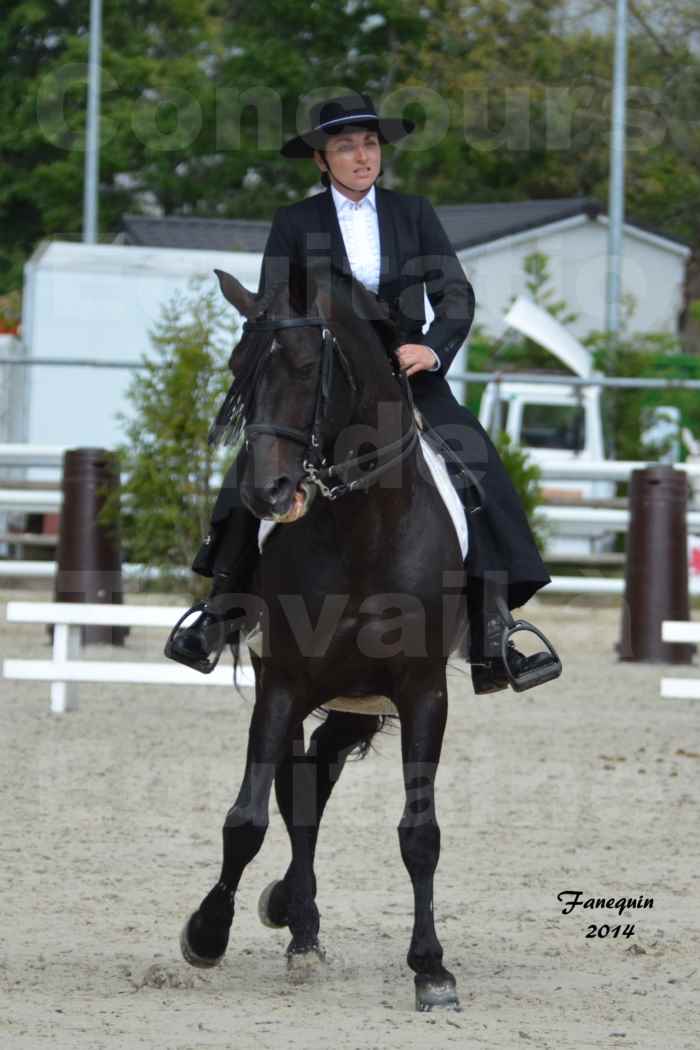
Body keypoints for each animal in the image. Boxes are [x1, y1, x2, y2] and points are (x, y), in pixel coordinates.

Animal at [178, 258, 468, 1012]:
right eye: (236, 368)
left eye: (309, 368)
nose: (267, 494)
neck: (365, 529)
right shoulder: (282, 684)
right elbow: (247, 819)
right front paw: (207, 933)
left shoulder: (423, 692)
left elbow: (420, 833)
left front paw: (432, 969)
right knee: (298, 795)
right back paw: (298, 928)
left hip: (356, 702)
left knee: (316, 778)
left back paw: (297, 917)